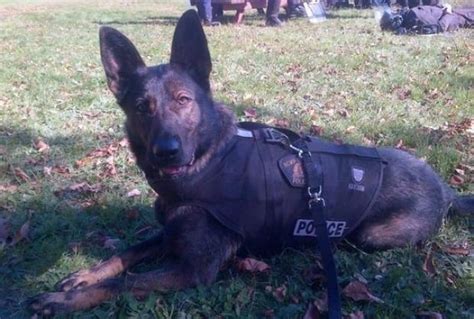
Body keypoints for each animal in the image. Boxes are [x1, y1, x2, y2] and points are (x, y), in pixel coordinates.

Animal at [29, 9, 470, 316]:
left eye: (183, 100)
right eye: (142, 107)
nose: (167, 151)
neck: (207, 163)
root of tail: (446, 190)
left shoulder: (194, 270)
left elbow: (128, 280)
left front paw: (64, 300)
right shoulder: (170, 234)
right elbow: (128, 253)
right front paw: (84, 275)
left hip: (371, 236)